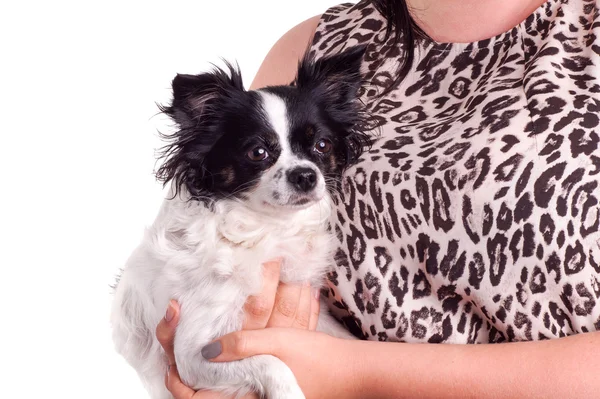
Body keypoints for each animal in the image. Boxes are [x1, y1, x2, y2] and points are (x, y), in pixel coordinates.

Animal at [110, 46, 368, 399]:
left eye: (322, 145)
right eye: (257, 152)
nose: (305, 175)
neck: (265, 228)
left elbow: (342, 340)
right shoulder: (193, 354)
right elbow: (271, 361)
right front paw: (290, 392)